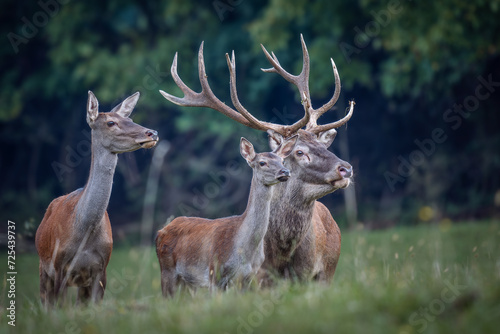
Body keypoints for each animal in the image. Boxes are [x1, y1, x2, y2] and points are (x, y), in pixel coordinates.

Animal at [35, 92, 158, 306]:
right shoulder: (59, 267)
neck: (85, 230)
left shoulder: (101, 269)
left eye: (130, 119)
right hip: (43, 268)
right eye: (111, 122)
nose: (153, 133)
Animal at [161, 35, 356, 284]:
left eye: (323, 145)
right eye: (299, 152)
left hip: (328, 271)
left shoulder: (309, 275)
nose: (346, 168)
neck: (281, 254)